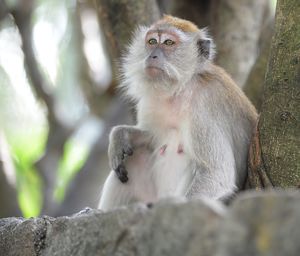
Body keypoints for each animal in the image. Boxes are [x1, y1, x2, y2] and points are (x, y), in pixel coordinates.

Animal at [98, 15, 255, 210]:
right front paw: (120, 136)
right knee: (135, 157)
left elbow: (216, 173)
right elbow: (150, 137)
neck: (180, 90)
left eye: (168, 42)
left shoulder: (204, 107)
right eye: (152, 41)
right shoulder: (151, 102)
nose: (152, 55)